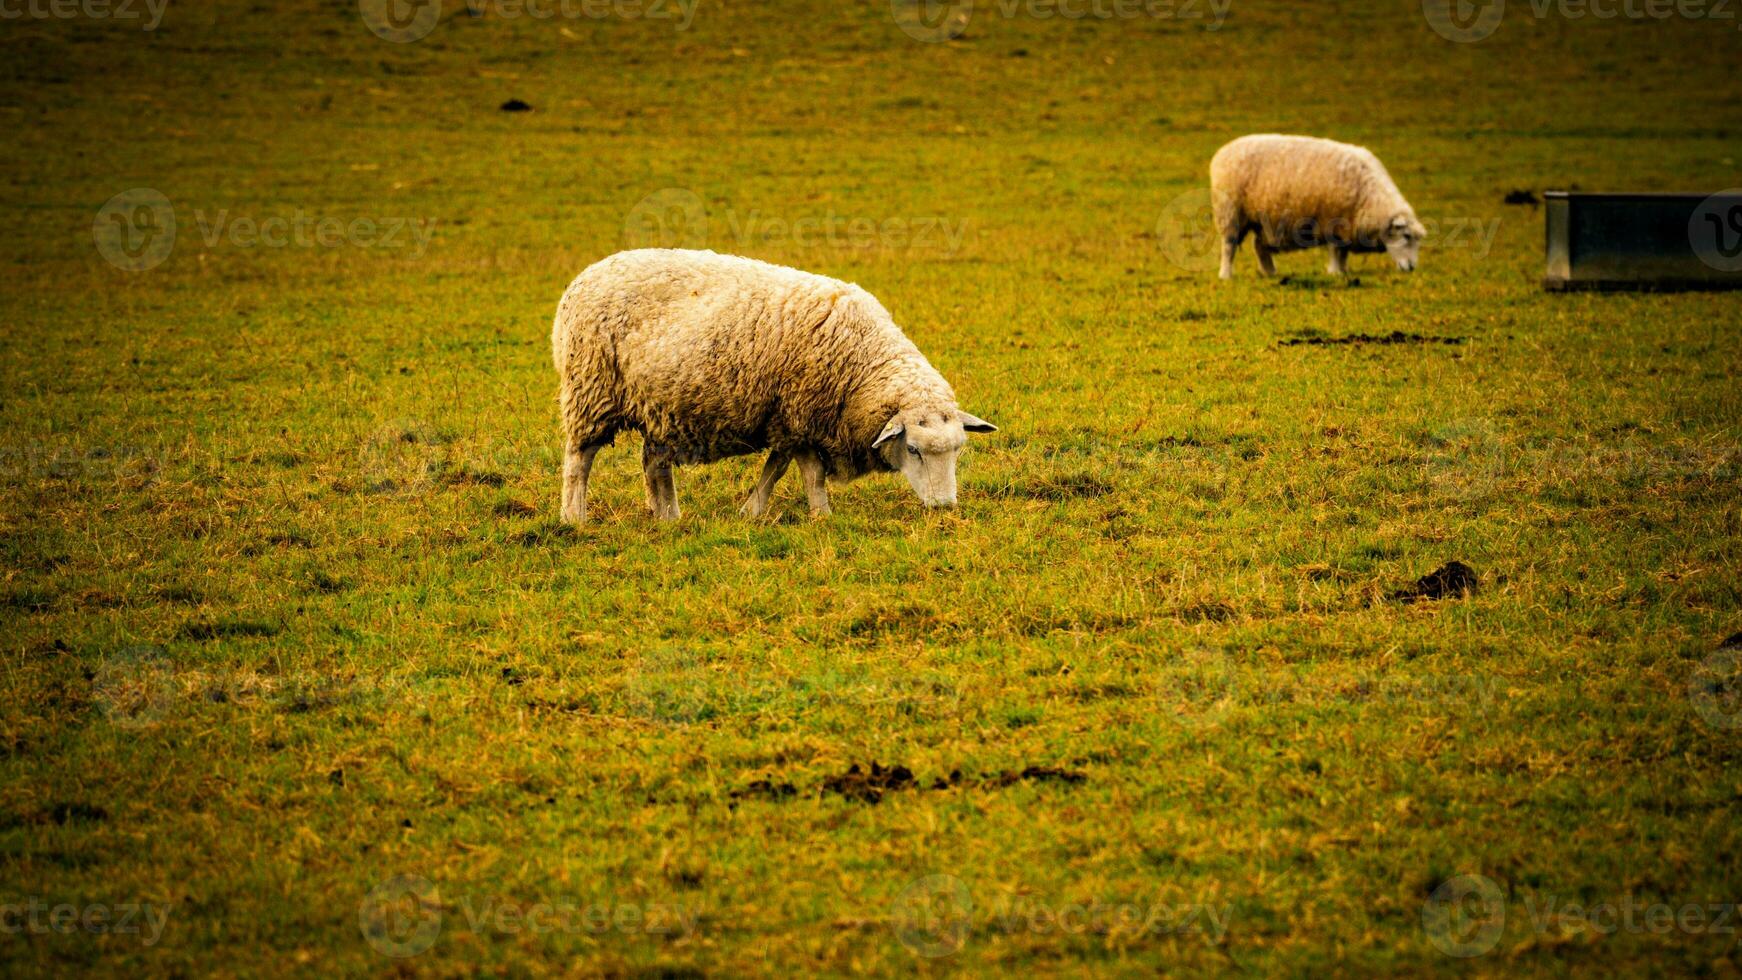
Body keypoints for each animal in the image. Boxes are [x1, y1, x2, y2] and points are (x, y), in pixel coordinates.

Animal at [550, 248, 1003, 525]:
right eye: (912, 450)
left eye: (958, 450)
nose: (944, 508)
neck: (863, 364)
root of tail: (583, 277)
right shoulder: (802, 414)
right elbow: (811, 475)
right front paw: (822, 515)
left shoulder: (787, 418)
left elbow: (776, 467)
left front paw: (752, 509)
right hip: (591, 389)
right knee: (579, 460)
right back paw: (574, 517)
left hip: (661, 405)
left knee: (654, 463)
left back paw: (669, 517)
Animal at [1212, 134, 1428, 280]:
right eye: (1406, 236)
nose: (1411, 268)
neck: (1370, 197)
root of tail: (1223, 151)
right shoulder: (1333, 219)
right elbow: (1335, 250)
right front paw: (1335, 272)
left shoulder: (1347, 225)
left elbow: (1343, 252)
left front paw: (1343, 270)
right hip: (1231, 212)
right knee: (1229, 246)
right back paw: (1225, 275)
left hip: (1262, 219)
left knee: (1259, 246)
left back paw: (1270, 272)